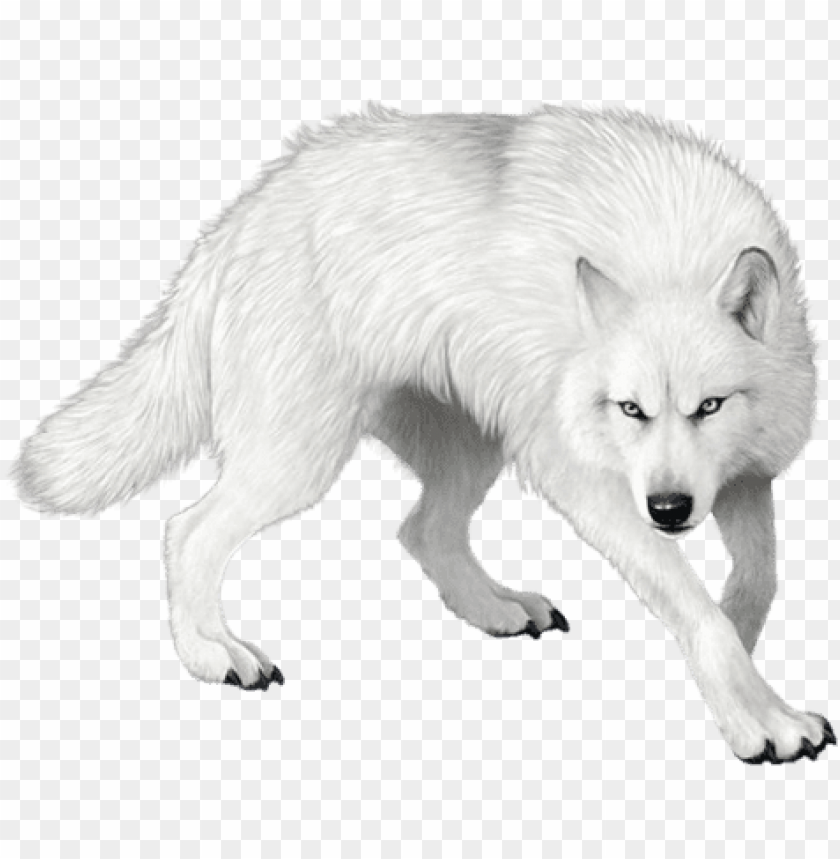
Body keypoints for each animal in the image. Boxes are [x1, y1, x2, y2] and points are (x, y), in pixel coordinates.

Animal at [15, 105, 834, 764]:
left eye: (710, 406)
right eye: (630, 410)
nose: (668, 510)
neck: (671, 259)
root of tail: (239, 219)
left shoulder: (747, 475)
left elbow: (756, 580)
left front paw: (745, 648)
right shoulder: (594, 486)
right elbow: (696, 609)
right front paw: (762, 720)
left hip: (478, 448)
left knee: (421, 528)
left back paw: (499, 610)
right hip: (303, 458)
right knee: (185, 530)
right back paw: (213, 656)